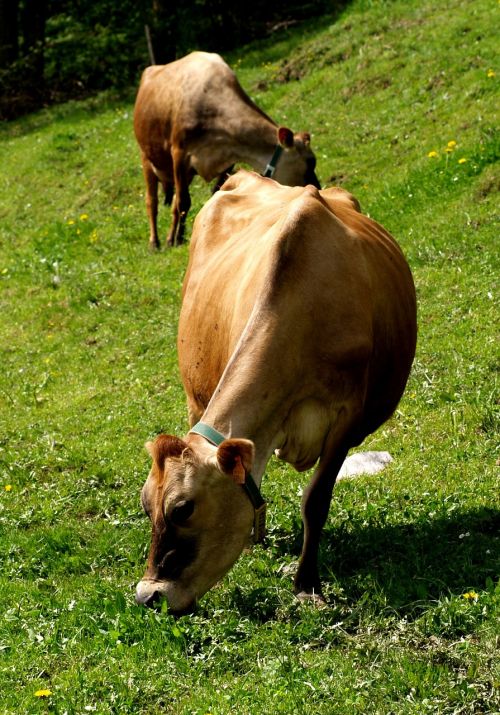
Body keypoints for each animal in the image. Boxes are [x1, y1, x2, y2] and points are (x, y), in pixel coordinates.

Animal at [133, 51, 320, 249]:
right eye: (310, 162)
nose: (318, 189)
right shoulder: (179, 153)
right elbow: (183, 202)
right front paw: (175, 239)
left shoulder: (227, 160)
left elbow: (213, 193)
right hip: (147, 158)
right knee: (152, 202)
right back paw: (155, 242)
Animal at [137, 171, 418, 612]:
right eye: (146, 505)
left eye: (183, 508)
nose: (147, 595)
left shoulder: (346, 419)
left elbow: (316, 500)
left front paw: (307, 583)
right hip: (194, 396)